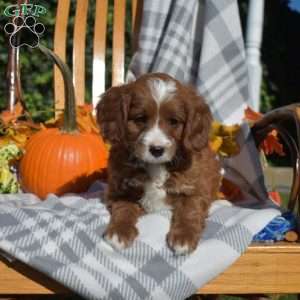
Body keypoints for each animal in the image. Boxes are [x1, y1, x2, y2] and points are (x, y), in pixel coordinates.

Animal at [96, 72, 220, 255]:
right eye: (140, 119)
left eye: (174, 121)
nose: (157, 149)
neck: (155, 166)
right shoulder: (119, 189)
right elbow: (124, 208)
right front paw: (119, 232)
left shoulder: (196, 188)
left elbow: (190, 209)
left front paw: (184, 238)